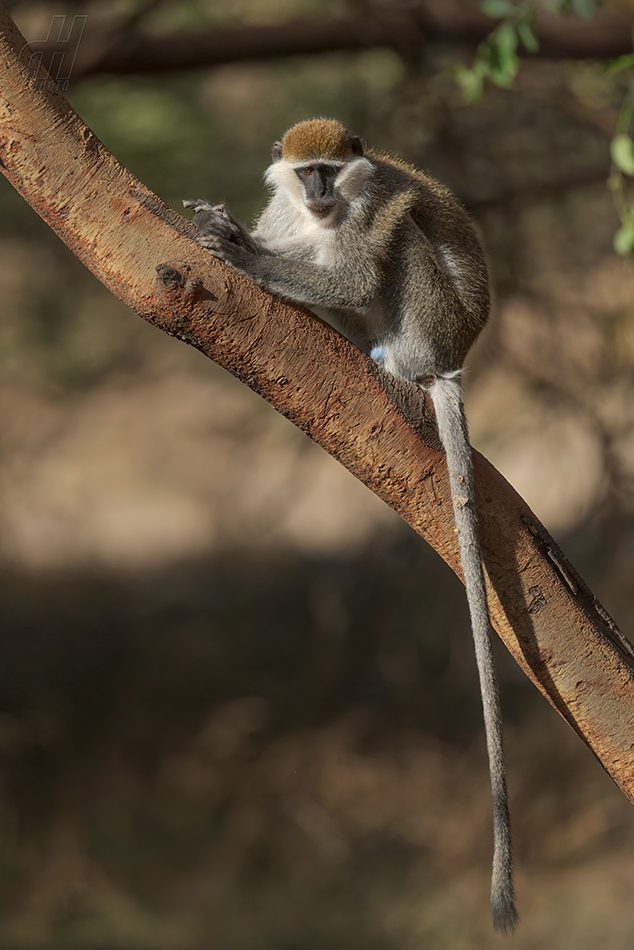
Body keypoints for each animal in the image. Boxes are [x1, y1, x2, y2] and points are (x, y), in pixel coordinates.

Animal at [184, 119, 520, 936]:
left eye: (331, 172)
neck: (328, 215)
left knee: (402, 248)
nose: (317, 193)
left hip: (432, 324)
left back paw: (400, 363)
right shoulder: (290, 214)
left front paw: (241, 252)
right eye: (306, 171)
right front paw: (234, 234)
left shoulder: (373, 208)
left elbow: (366, 268)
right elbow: (295, 249)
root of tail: (453, 360)